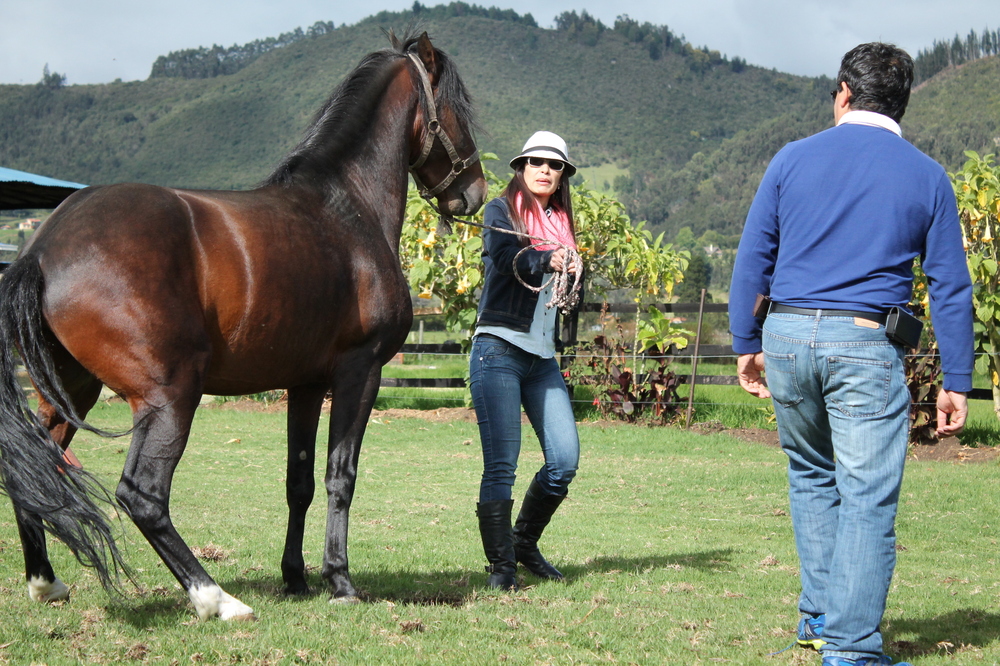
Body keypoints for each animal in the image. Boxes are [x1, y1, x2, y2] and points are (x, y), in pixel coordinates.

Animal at [0, 32, 485, 621]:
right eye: (458, 110)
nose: (476, 192)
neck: (347, 209)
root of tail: (43, 248)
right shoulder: (360, 371)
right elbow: (340, 474)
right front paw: (340, 580)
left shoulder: (306, 384)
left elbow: (299, 481)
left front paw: (295, 576)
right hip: (169, 397)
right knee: (142, 495)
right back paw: (216, 598)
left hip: (70, 391)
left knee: (36, 470)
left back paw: (46, 582)